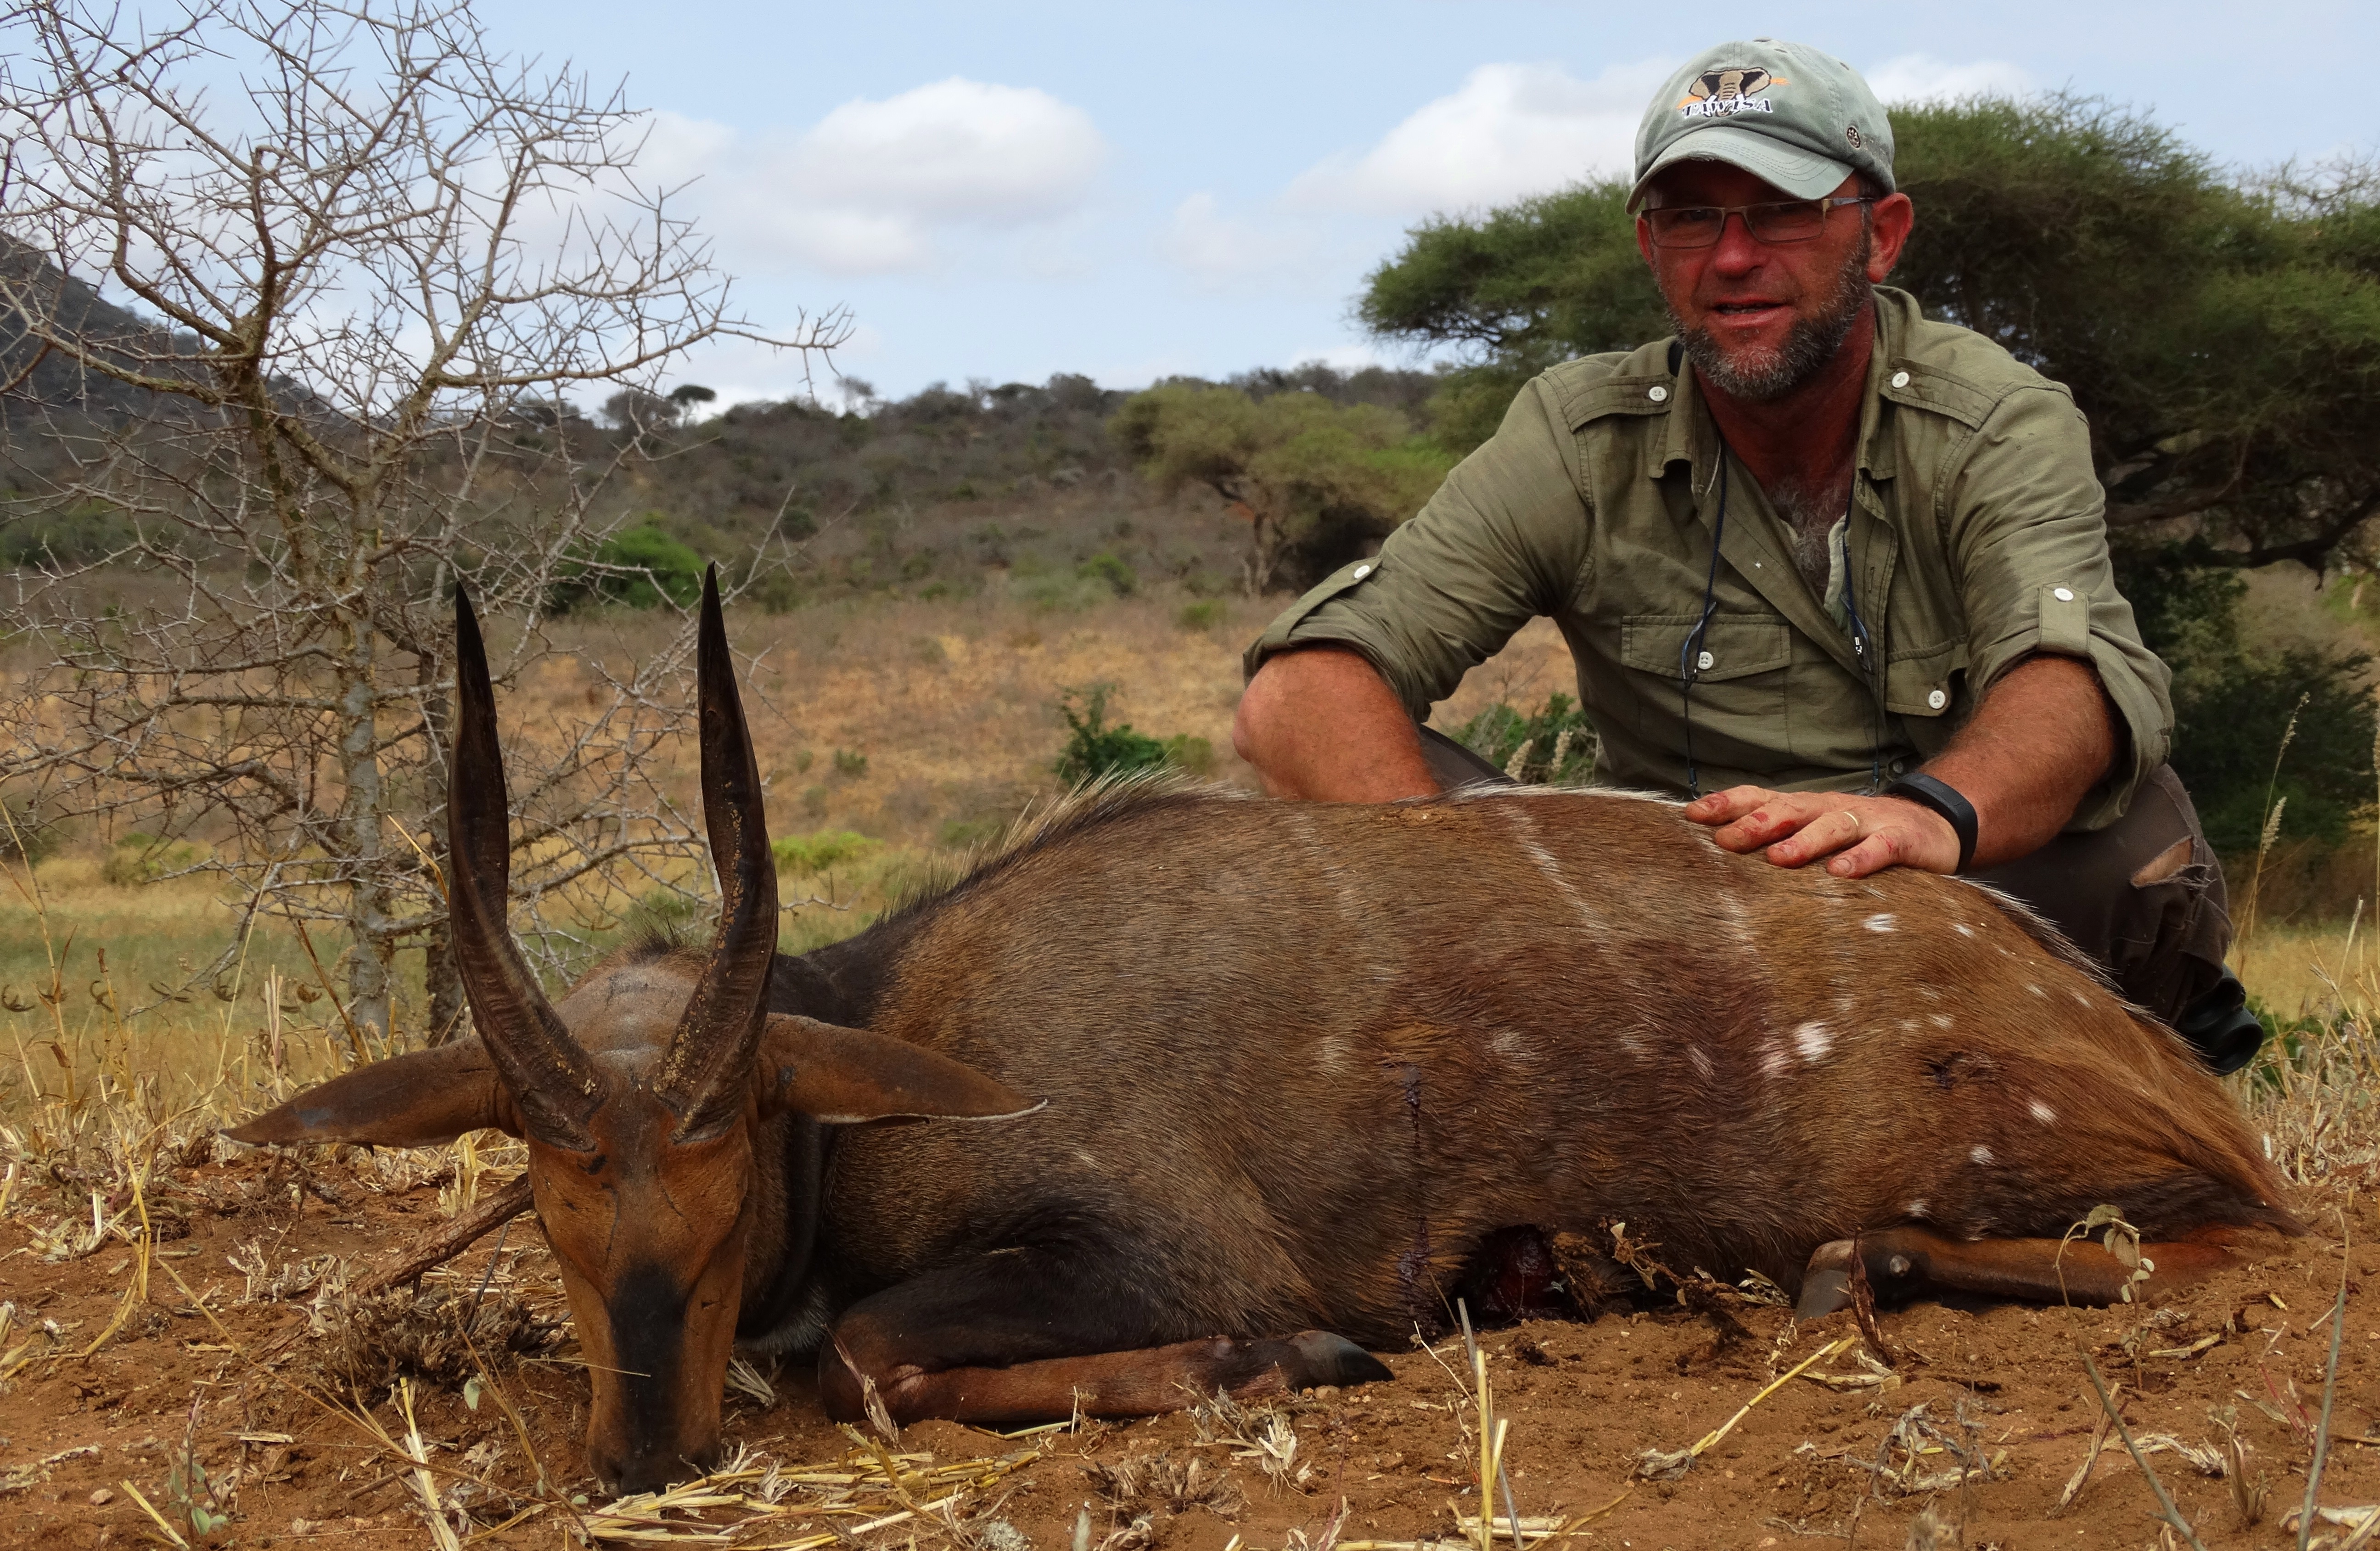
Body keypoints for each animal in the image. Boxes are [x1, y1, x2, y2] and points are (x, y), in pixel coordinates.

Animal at [232, 568, 2294, 1494]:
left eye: (734, 1155)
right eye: (542, 1179)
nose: (641, 1449)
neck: (905, 1014)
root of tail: (2102, 1011)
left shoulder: (1154, 1244)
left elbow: (875, 1355)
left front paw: (1294, 1357)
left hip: (2071, 1173)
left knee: (2206, 1241)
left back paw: (1851, 1271)